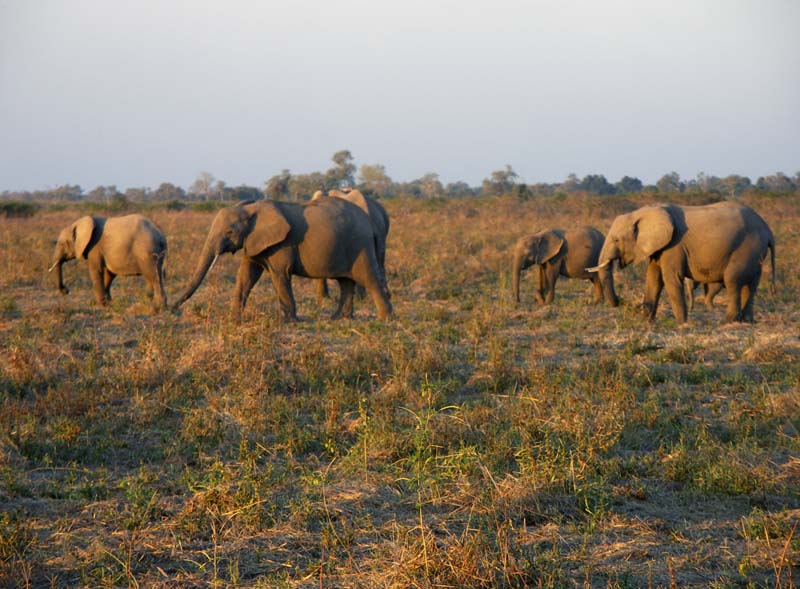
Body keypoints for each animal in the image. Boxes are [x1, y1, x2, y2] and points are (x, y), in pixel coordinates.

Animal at [173, 196, 392, 322]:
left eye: (229, 232)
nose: (171, 309)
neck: (252, 209)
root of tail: (370, 222)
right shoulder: (254, 241)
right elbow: (247, 275)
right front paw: (233, 319)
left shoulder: (282, 244)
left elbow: (280, 274)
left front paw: (288, 321)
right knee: (345, 282)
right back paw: (339, 318)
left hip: (360, 245)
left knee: (368, 278)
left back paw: (385, 319)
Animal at [588, 201, 776, 322]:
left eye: (617, 240)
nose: (620, 303)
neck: (641, 212)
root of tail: (768, 229)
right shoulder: (660, 248)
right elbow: (653, 278)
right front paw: (646, 322)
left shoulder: (674, 246)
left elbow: (670, 279)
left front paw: (681, 324)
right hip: (755, 252)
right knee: (751, 285)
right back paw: (747, 321)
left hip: (747, 247)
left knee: (733, 281)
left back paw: (728, 321)